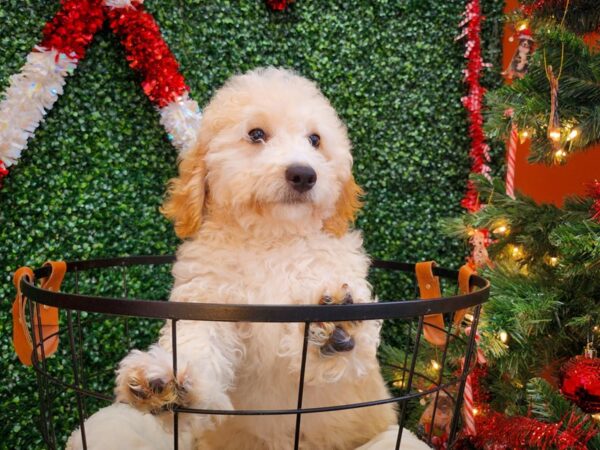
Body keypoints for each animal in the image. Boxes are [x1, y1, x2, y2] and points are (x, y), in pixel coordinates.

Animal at [68, 67, 428, 450]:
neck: (271, 239)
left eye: (315, 140)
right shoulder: (208, 303)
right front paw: (166, 377)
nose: (304, 174)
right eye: (256, 134)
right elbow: (200, 346)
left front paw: (336, 326)